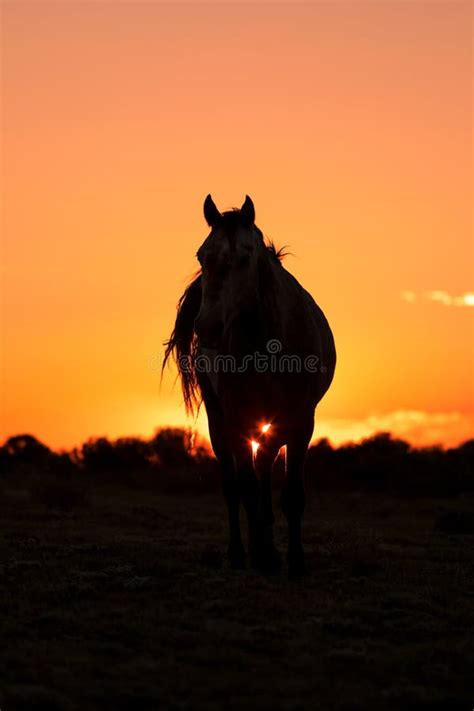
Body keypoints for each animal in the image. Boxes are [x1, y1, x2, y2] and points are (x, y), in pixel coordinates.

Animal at [165, 197, 336, 576]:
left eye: (244, 257)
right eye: (201, 255)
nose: (206, 327)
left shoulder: (302, 421)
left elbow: (290, 492)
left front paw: (294, 561)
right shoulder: (238, 420)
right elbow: (245, 487)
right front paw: (260, 554)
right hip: (218, 419)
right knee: (235, 486)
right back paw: (243, 551)